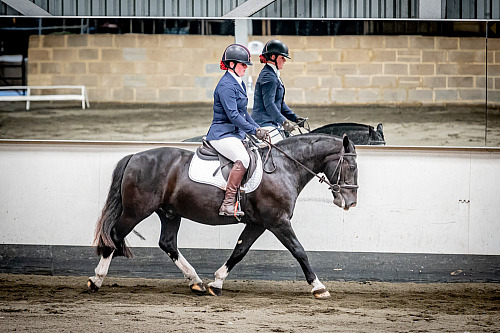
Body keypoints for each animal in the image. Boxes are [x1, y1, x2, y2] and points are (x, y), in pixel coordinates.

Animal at [88, 132, 358, 298]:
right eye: (352, 167)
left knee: (168, 243)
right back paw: (96, 280)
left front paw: (216, 283)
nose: (350, 202)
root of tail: (134, 156)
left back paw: (196, 281)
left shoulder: (259, 223)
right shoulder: (278, 221)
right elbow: (299, 251)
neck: (284, 168)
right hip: (136, 211)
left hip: (169, 213)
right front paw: (319, 287)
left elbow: (239, 251)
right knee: (114, 236)